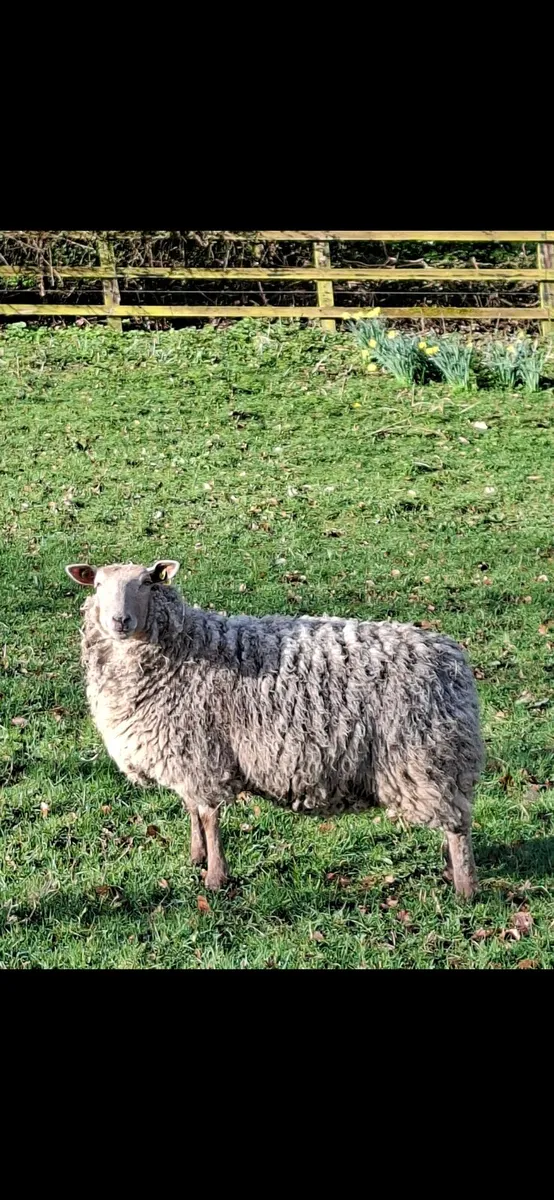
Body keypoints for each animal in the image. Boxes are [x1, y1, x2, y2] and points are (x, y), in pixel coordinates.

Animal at [65, 559, 484, 896]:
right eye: (97, 584)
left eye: (148, 582)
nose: (120, 621)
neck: (185, 648)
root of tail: (450, 657)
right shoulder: (185, 754)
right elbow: (191, 809)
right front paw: (195, 857)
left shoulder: (203, 754)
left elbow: (208, 815)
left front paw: (215, 877)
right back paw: (449, 870)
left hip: (427, 757)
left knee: (458, 825)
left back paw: (464, 888)